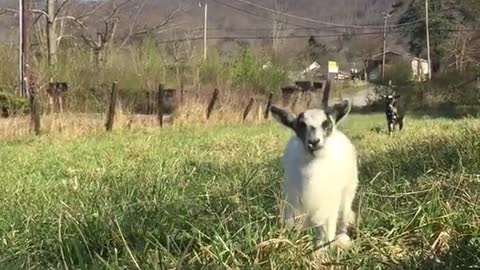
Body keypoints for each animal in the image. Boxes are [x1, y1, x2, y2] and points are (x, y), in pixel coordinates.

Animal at [272, 99, 358, 251]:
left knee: (343, 215)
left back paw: (343, 237)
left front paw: (322, 249)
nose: (314, 142)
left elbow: (326, 227)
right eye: (300, 125)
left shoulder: (328, 201)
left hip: (348, 190)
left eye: (326, 124)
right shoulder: (293, 199)